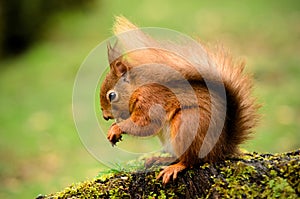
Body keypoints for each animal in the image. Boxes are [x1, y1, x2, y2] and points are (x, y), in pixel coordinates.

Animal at [99, 16, 258, 184]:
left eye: (111, 95)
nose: (105, 116)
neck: (138, 88)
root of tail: (221, 149)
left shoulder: (152, 99)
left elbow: (145, 124)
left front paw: (115, 129)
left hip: (188, 125)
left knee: (192, 160)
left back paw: (174, 167)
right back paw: (159, 160)